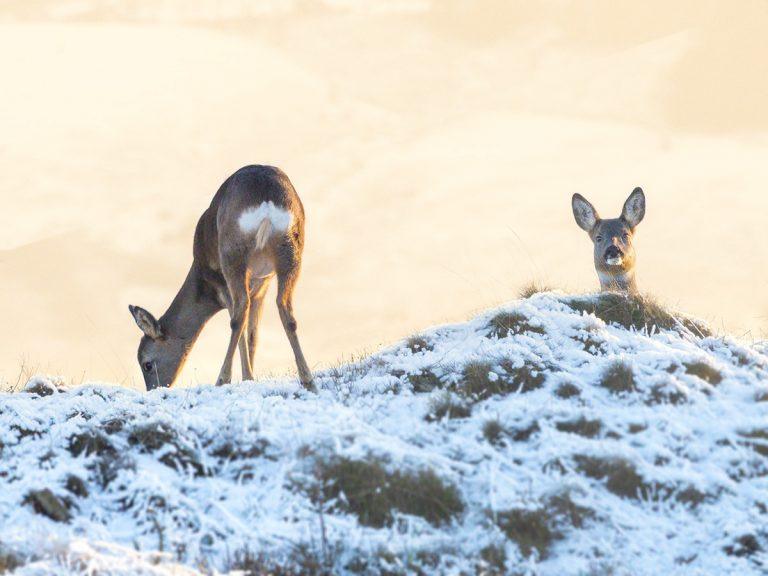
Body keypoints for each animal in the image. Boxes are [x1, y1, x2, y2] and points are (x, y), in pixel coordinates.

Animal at [129, 165, 314, 391]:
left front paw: (246, 378)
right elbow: (253, 333)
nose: (154, 389)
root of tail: (267, 200)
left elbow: (242, 326)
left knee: (240, 314)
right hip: (291, 252)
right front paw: (250, 377)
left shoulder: (222, 284)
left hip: (233, 256)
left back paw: (222, 379)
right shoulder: (262, 284)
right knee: (285, 308)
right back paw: (308, 380)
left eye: (146, 363)